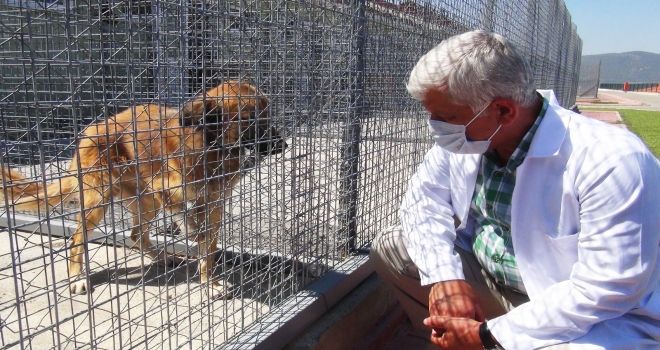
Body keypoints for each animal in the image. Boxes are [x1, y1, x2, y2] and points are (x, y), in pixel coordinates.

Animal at [0, 82, 286, 298]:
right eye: (250, 120)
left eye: (268, 115)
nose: (282, 145)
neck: (211, 147)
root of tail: (90, 131)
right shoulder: (165, 189)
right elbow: (185, 217)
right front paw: (193, 232)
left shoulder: (215, 204)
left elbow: (209, 251)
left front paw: (210, 283)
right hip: (99, 200)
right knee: (77, 241)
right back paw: (77, 277)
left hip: (146, 203)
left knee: (136, 234)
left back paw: (161, 257)